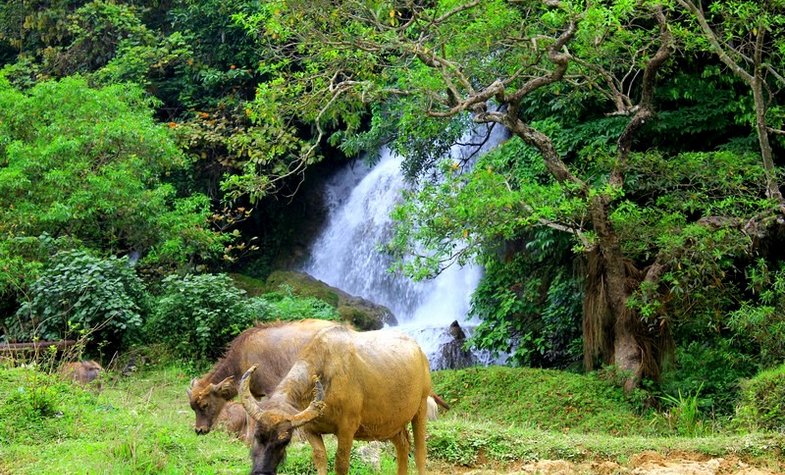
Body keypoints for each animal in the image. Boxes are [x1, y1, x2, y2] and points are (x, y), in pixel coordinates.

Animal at [189, 320, 340, 436]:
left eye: (205, 405)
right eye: (192, 407)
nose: (199, 430)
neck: (242, 357)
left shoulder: (272, 389)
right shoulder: (254, 393)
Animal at [240, 328, 434, 475]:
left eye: (284, 441)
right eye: (257, 436)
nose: (261, 472)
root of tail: (420, 352)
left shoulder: (347, 429)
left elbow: (341, 464)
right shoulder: (310, 430)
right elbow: (320, 459)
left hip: (421, 407)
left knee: (420, 452)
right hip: (392, 424)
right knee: (403, 445)